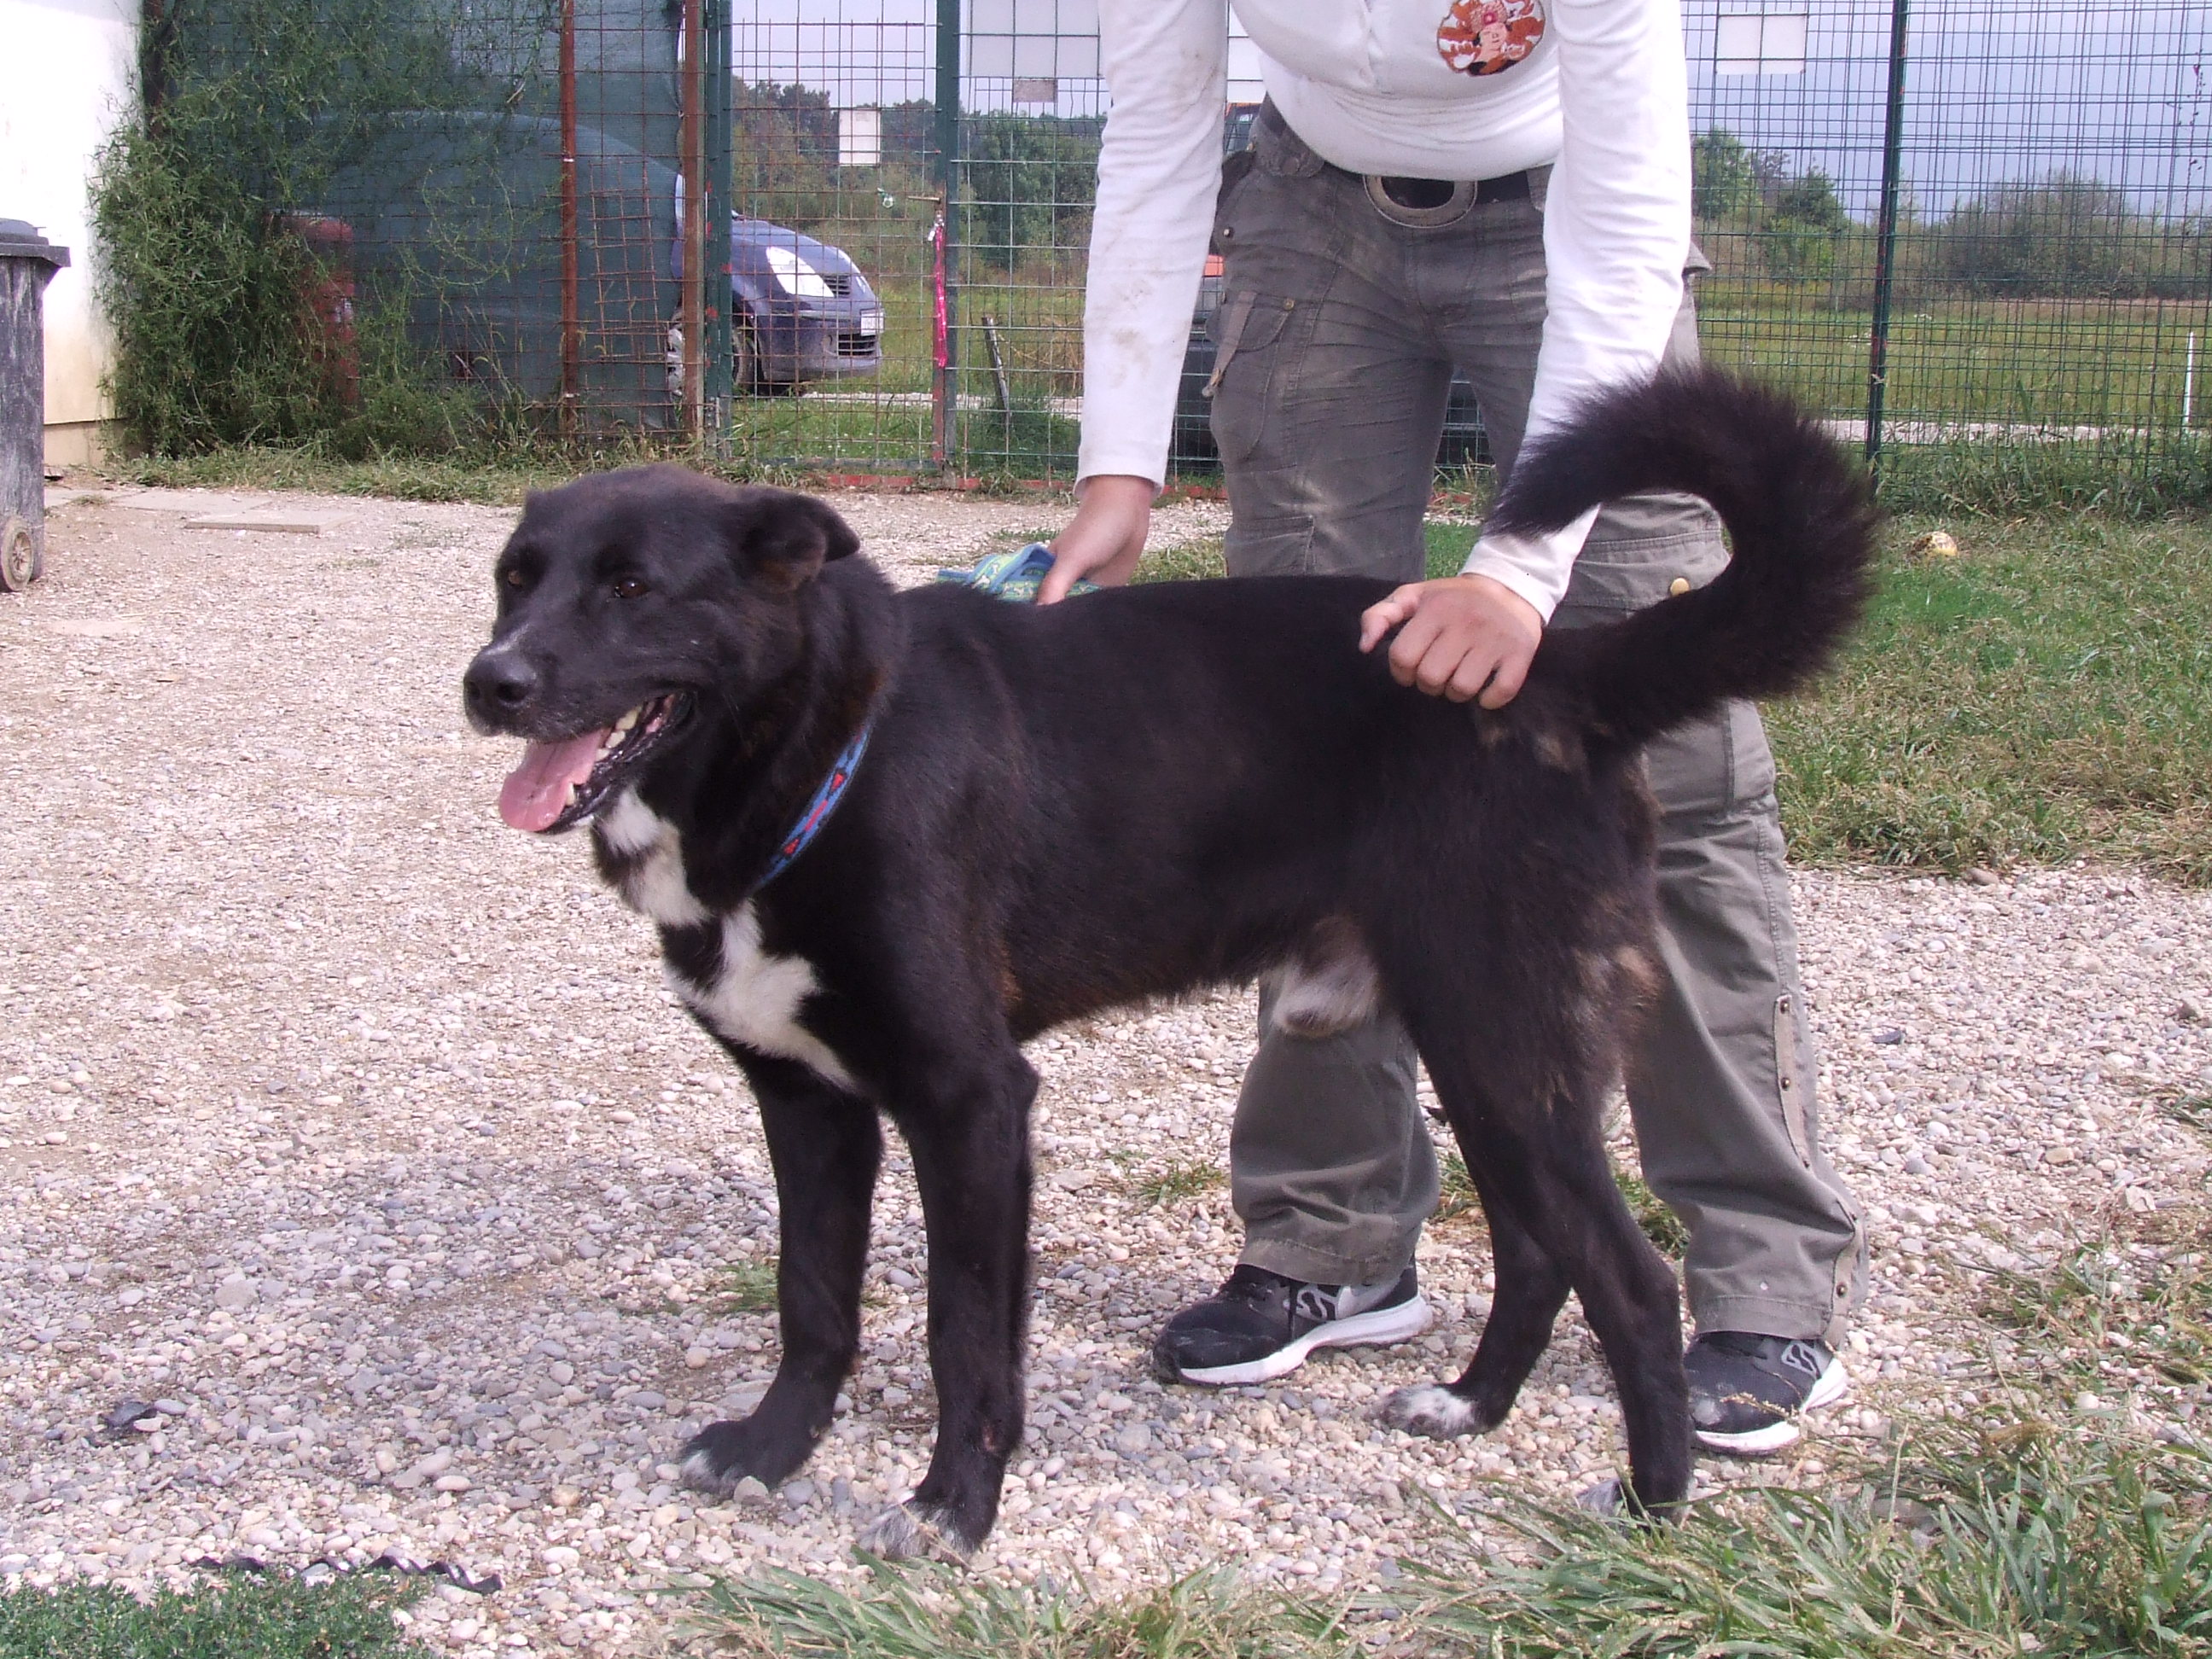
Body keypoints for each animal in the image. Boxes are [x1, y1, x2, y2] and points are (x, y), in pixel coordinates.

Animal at [461, 366, 1874, 1558]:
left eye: (635, 589)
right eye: (514, 578)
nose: (491, 684)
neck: (818, 745)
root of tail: (1560, 667)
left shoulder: (971, 1104)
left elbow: (964, 1337)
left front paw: (953, 1509)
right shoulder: (808, 1106)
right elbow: (813, 1303)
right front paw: (773, 1450)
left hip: (1508, 1040)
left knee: (1631, 1281)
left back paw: (1650, 1505)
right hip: (1485, 1056)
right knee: (1538, 1252)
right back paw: (1471, 1408)